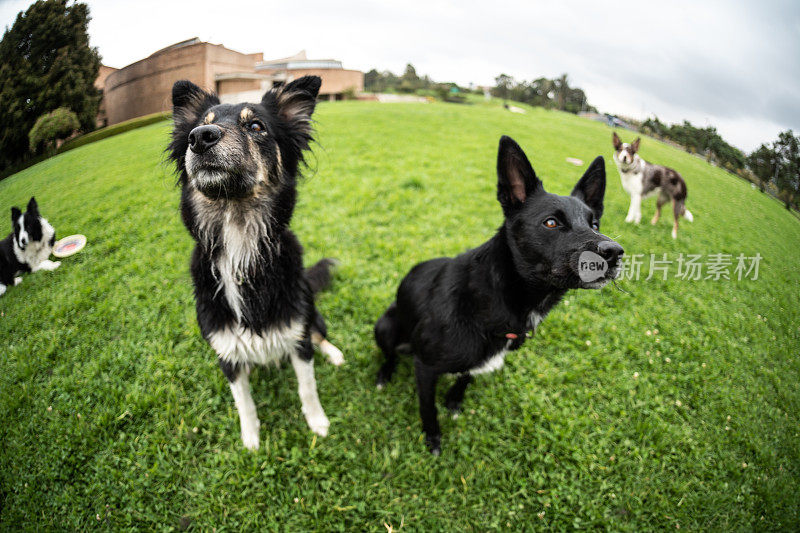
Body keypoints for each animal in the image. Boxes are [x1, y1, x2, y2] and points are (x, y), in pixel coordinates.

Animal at [167, 75, 342, 448]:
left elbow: (308, 387)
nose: (199, 137)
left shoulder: (297, 334)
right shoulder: (226, 352)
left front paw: (317, 422)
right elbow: (243, 401)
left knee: (320, 334)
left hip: (311, 311)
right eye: (203, 123)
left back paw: (334, 353)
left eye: (256, 126)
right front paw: (250, 438)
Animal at [376, 136, 624, 454]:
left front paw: (454, 400)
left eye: (594, 225)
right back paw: (384, 374)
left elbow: (467, 376)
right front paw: (433, 438)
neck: (496, 296)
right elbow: (428, 409)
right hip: (384, 326)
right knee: (389, 354)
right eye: (551, 223)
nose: (615, 253)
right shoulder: (426, 368)